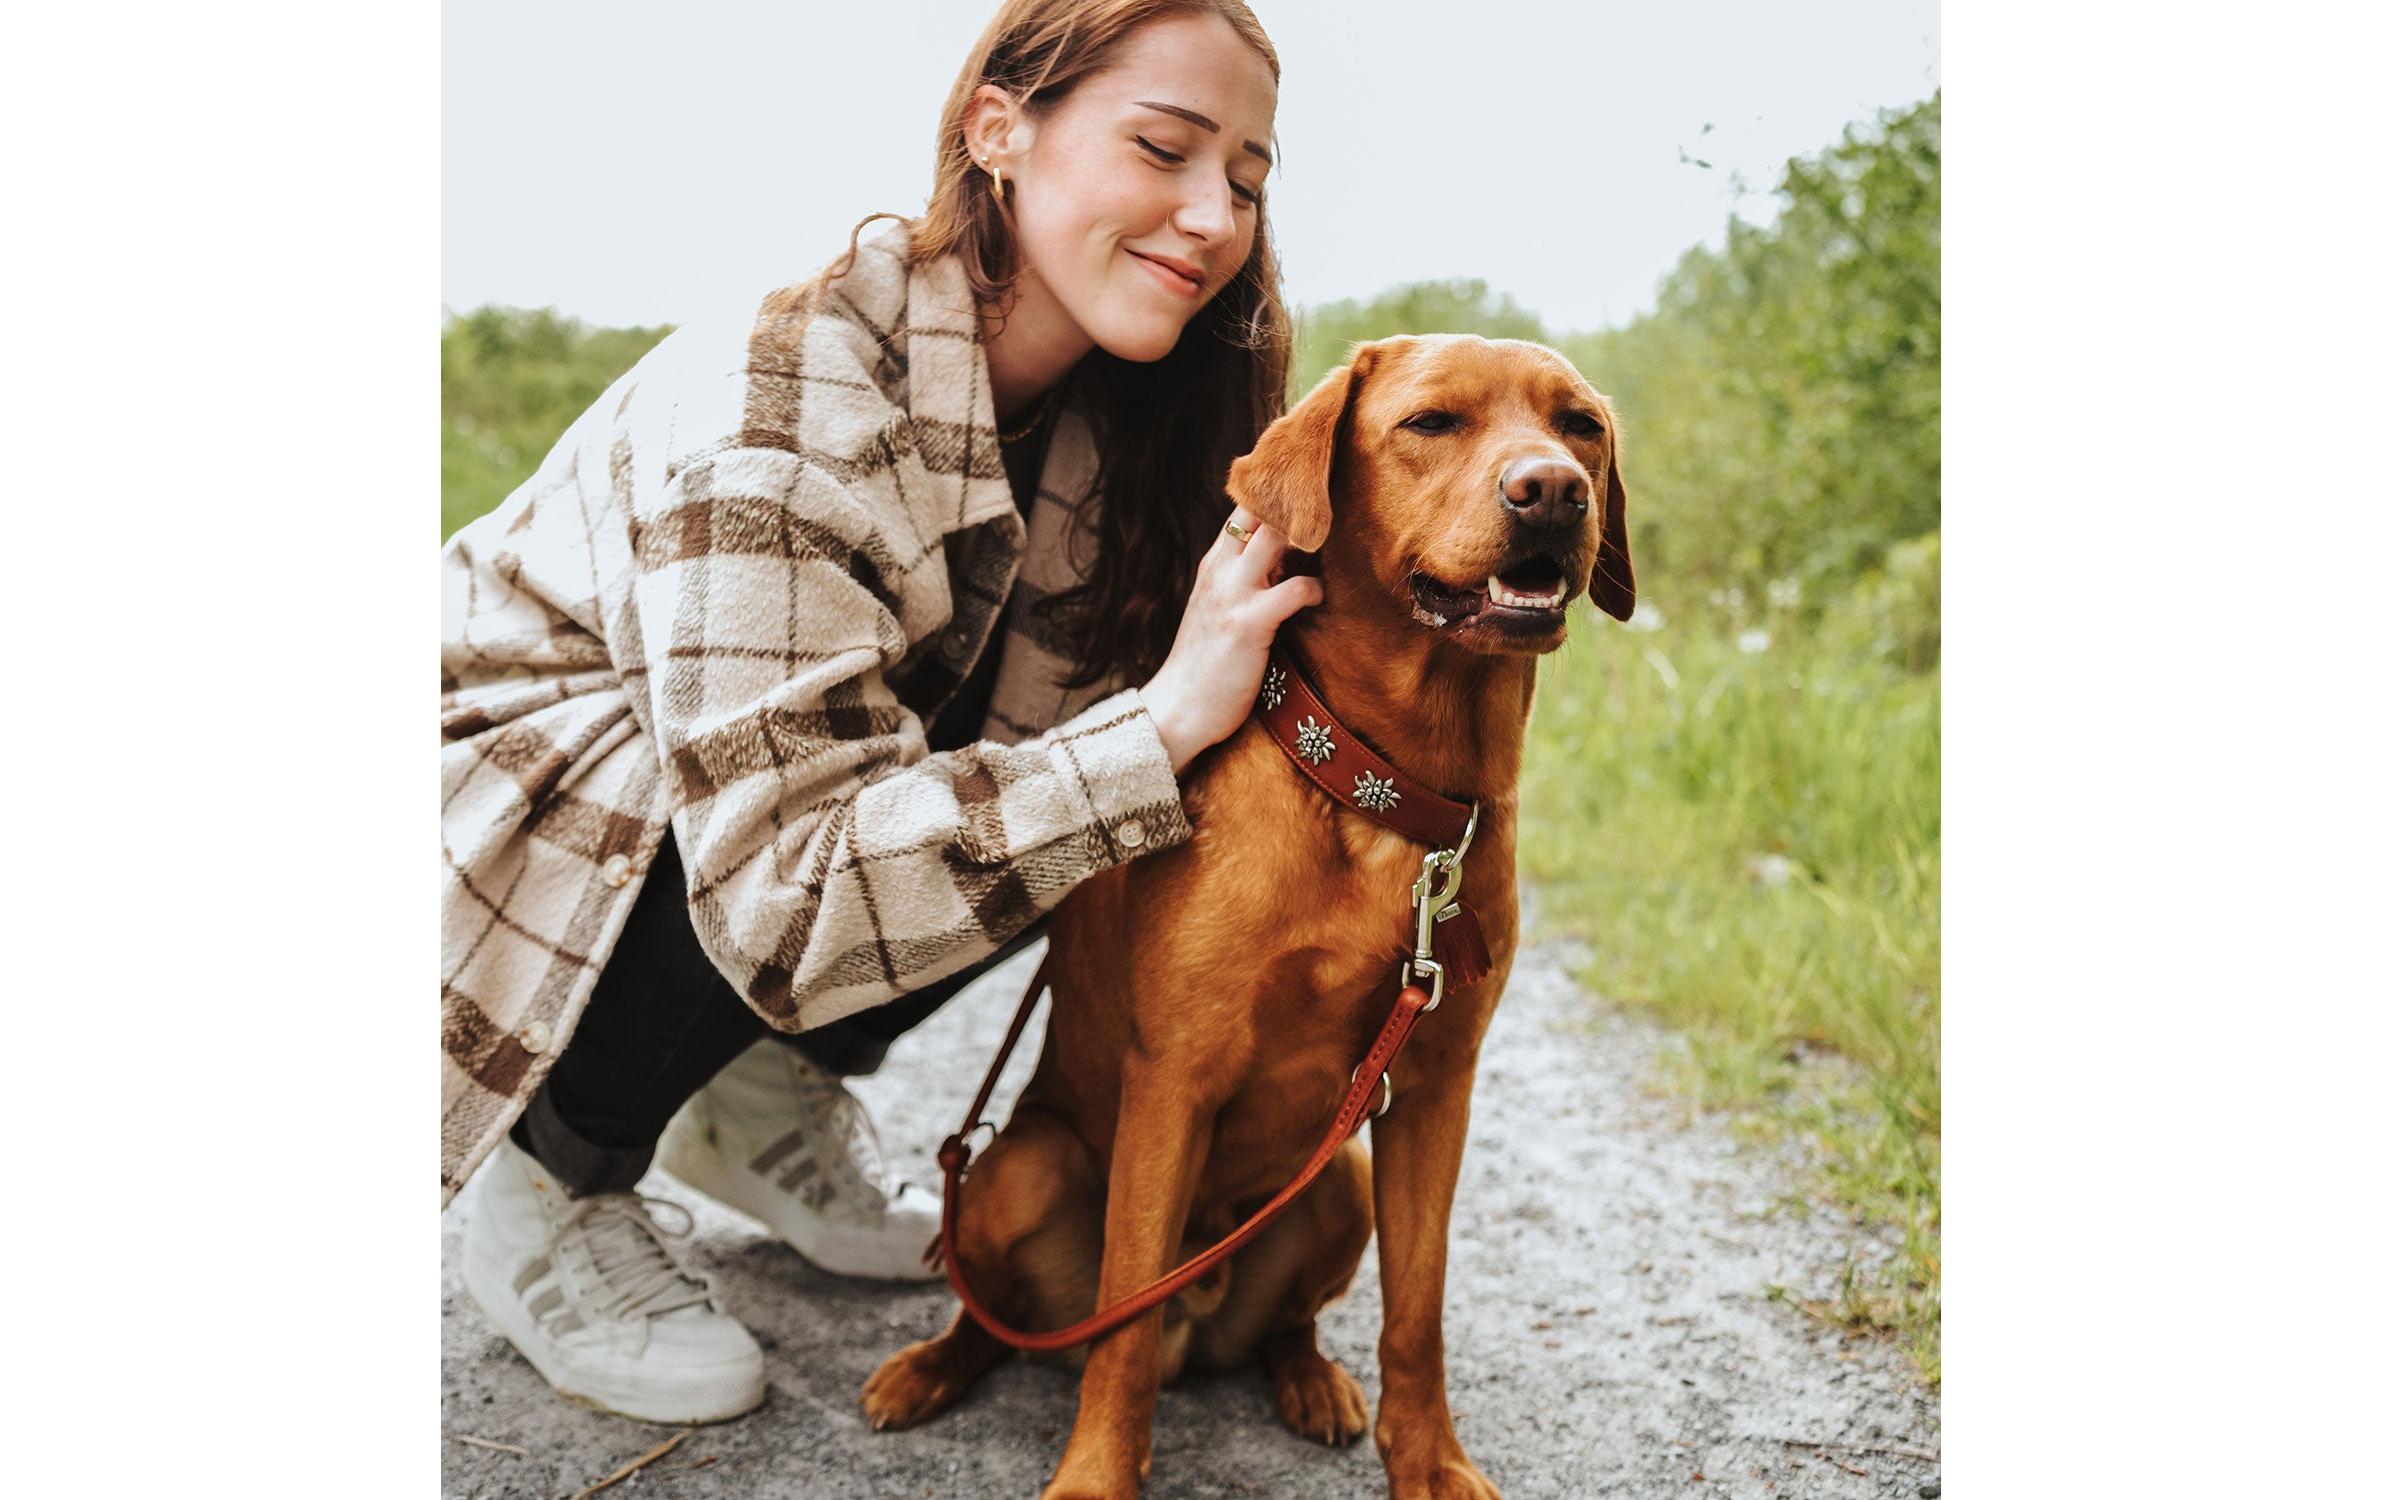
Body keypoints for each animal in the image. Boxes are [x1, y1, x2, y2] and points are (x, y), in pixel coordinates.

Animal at [867, 333, 1629, 1488]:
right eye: (1430, 422)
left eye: (1578, 425)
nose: (1551, 491)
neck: (1389, 798)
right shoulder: (1174, 1077)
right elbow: (1123, 1324)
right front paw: (1096, 1475)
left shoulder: (1438, 1088)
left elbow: (1417, 1315)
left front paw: (1429, 1465)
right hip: (1019, 1171)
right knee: (1008, 1317)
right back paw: (929, 1368)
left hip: (1340, 1181)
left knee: (1286, 1324)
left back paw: (1309, 1378)